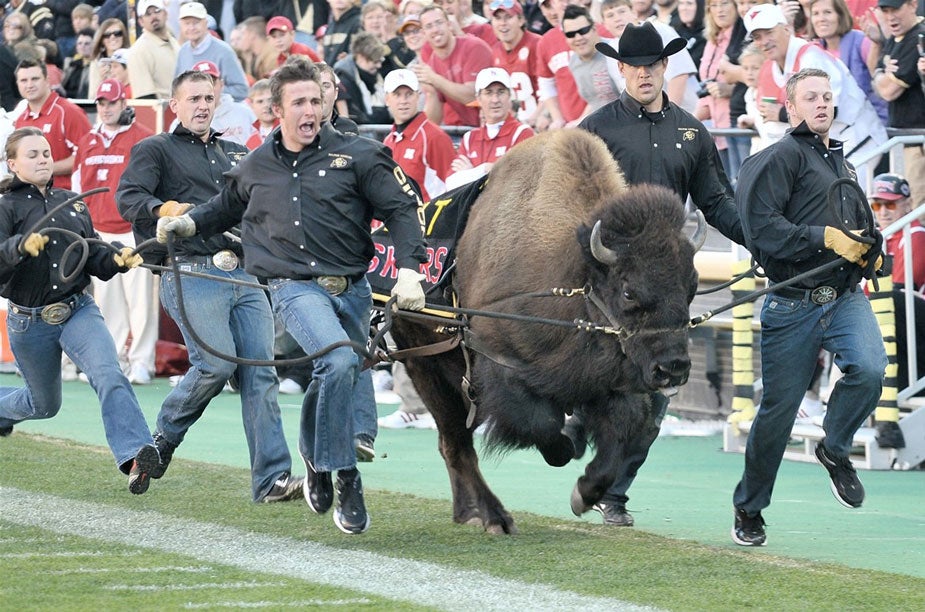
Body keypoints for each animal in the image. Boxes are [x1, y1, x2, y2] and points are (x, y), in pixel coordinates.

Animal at [389, 129, 705, 534]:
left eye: (692, 286)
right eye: (628, 291)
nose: (673, 368)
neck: (574, 273)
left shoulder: (613, 385)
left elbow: (622, 434)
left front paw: (583, 493)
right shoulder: (501, 371)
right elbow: (542, 424)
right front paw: (568, 446)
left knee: (453, 443)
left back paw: (469, 513)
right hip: (426, 368)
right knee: (456, 442)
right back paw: (494, 517)